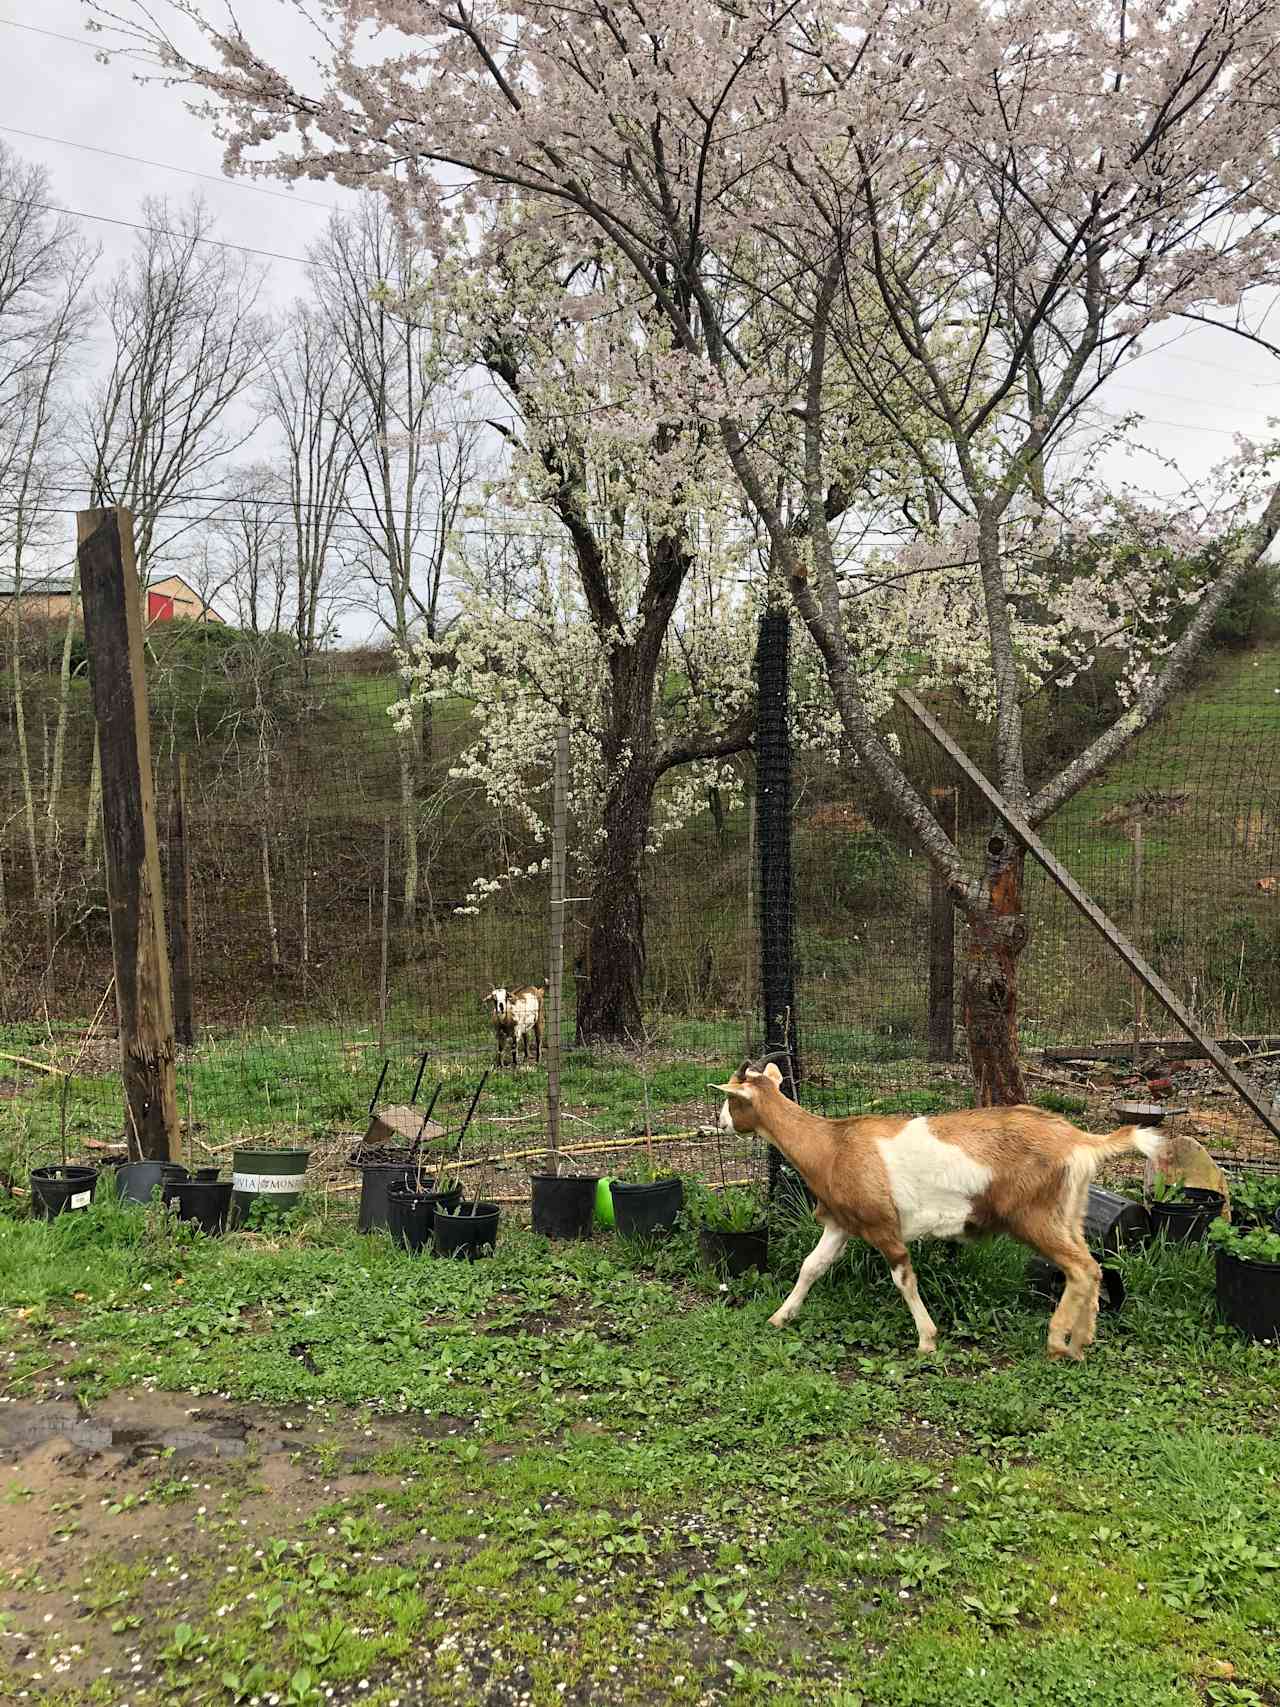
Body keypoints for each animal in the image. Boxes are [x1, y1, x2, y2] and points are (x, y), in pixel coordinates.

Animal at [713, 1065, 1174, 1358]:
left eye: (731, 1101)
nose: (720, 1122)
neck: (831, 1144)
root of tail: (1080, 1141)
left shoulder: (883, 1226)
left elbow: (903, 1278)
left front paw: (927, 1340)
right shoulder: (844, 1222)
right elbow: (812, 1266)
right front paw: (780, 1316)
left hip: (1036, 1216)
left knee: (1080, 1269)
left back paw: (1060, 1343)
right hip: (1069, 1213)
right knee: (1093, 1267)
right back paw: (1083, 1341)